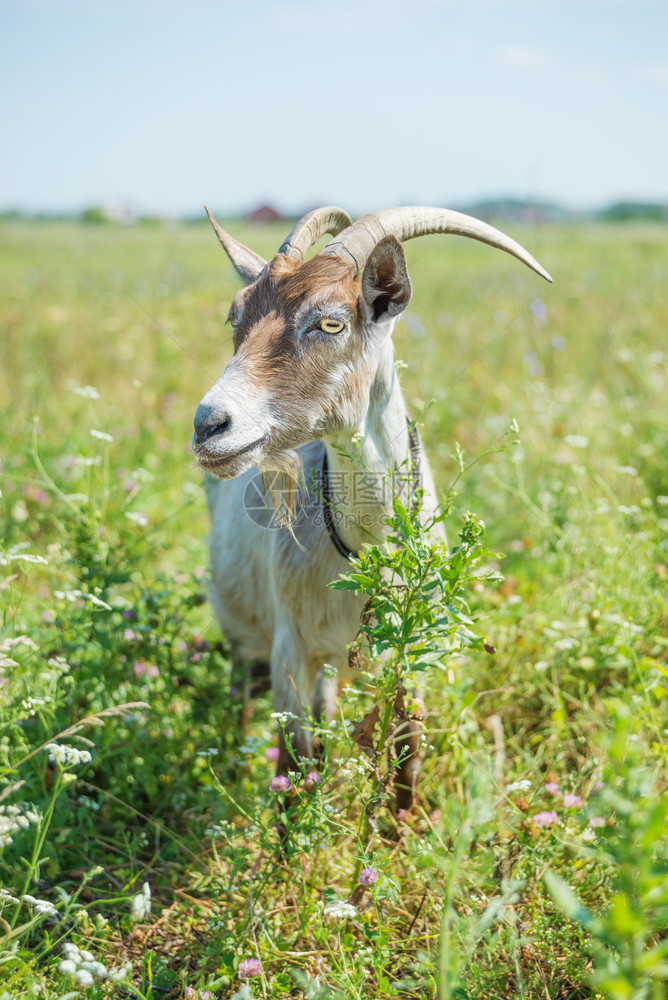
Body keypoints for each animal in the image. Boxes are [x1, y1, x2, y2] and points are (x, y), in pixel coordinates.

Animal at [192, 207, 548, 808]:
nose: (208, 425)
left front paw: (401, 828)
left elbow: (407, 748)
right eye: (234, 317)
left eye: (331, 323)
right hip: (240, 623)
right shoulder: (289, 648)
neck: (368, 549)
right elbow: (293, 762)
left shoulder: (413, 650)